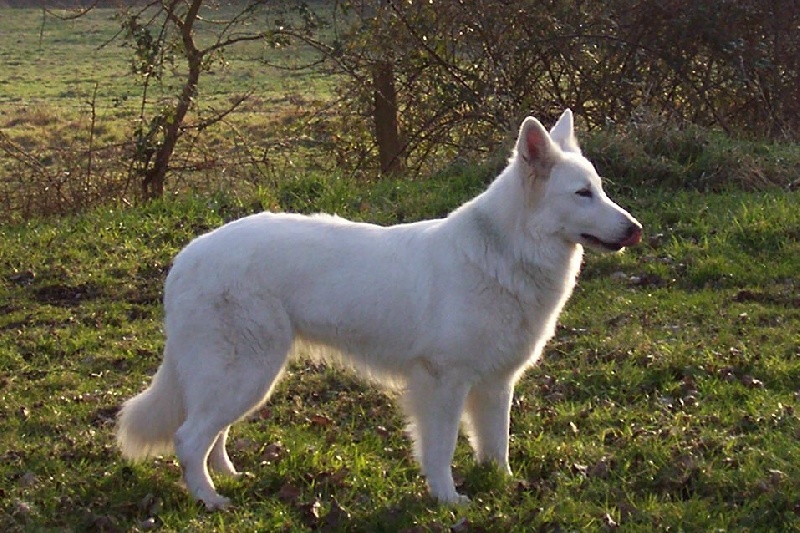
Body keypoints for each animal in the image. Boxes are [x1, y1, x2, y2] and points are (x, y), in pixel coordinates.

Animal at [115, 109, 640, 508]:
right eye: (582, 194)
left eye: (600, 188)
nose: (634, 229)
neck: (506, 252)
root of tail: (187, 257)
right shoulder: (443, 382)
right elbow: (441, 448)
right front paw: (449, 500)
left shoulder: (495, 384)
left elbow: (496, 446)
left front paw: (505, 488)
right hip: (246, 371)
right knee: (188, 437)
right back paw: (210, 500)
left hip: (243, 376)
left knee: (211, 432)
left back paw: (228, 477)